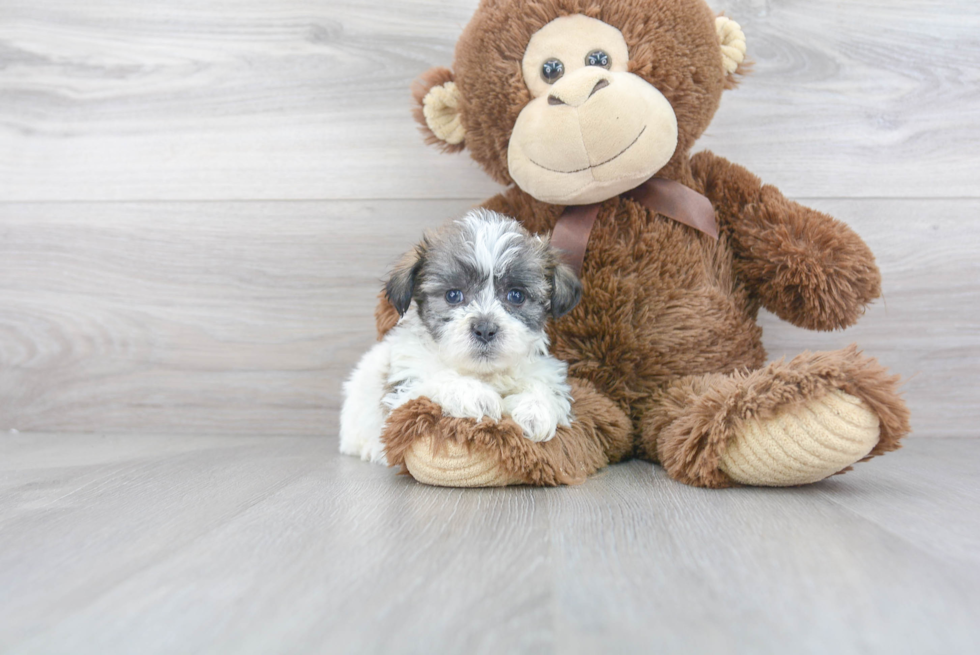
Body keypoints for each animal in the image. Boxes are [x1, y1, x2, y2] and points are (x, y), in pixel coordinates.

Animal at [338, 210, 580, 466]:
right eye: (453, 295)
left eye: (516, 295)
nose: (485, 328)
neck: (482, 372)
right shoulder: (404, 395)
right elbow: (437, 380)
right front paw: (477, 395)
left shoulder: (542, 370)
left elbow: (544, 386)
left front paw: (535, 410)